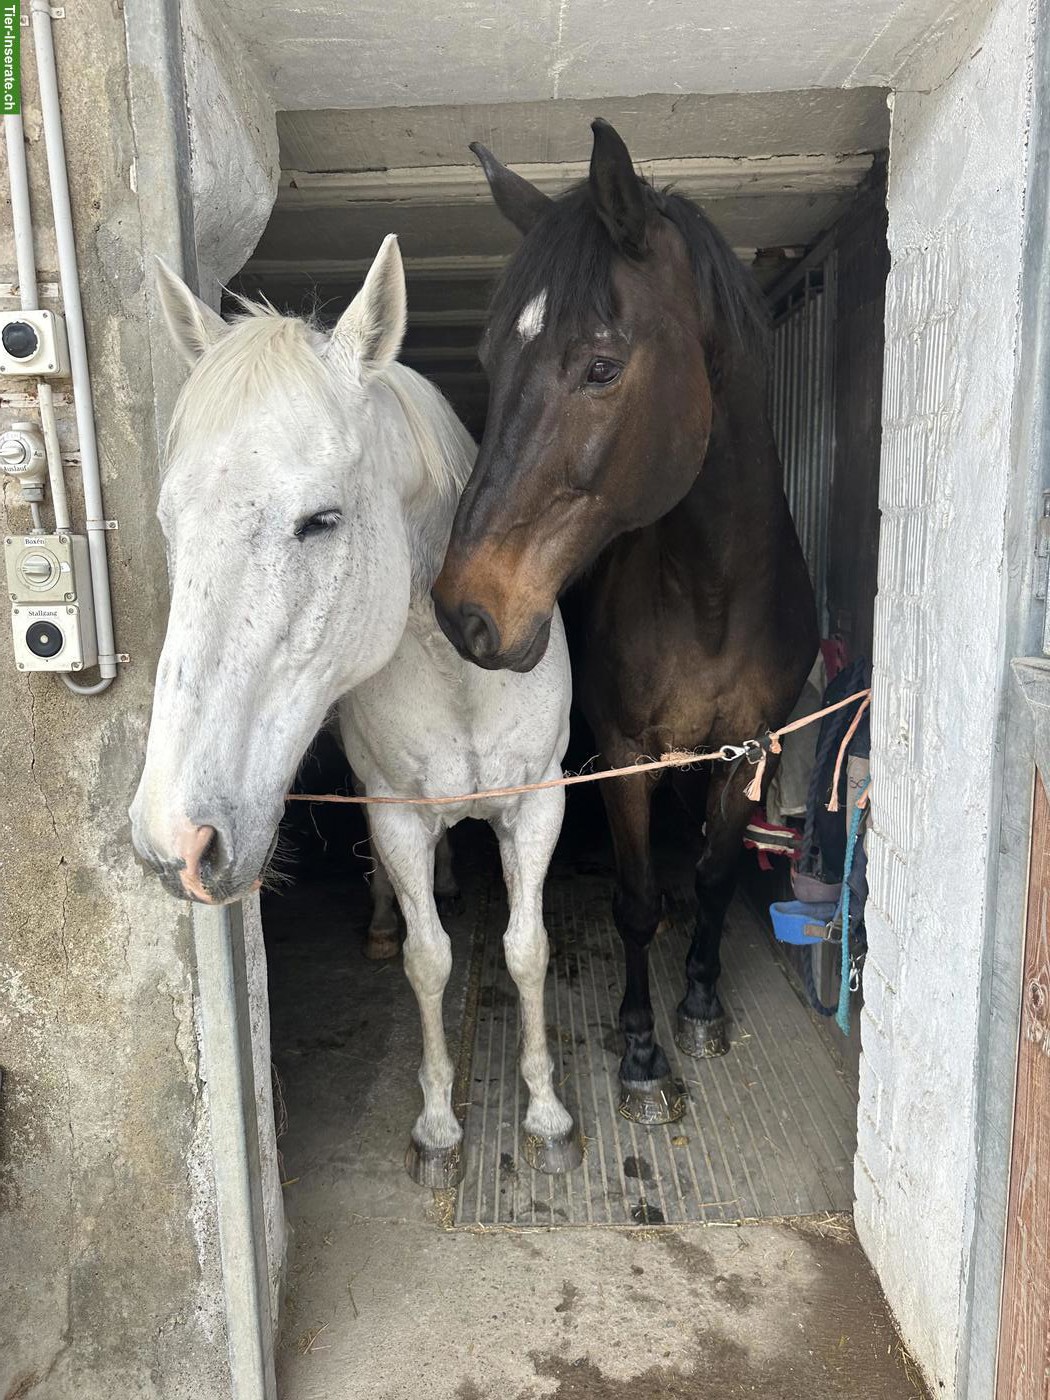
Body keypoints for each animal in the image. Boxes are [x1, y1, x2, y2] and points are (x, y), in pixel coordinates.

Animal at [130, 236, 581, 1185]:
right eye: (169, 522)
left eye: (321, 520)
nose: (170, 839)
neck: (464, 672)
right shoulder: (396, 813)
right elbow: (427, 959)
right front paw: (439, 1126)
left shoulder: (539, 805)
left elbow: (527, 951)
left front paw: (548, 1116)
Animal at [433, 120, 818, 1126]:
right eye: (489, 362)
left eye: (601, 366)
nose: (463, 611)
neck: (713, 596)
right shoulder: (625, 751)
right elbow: (638, 899)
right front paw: (643, 1051)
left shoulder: (750, 745)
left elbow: (716, 875)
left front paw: (701, 1007)